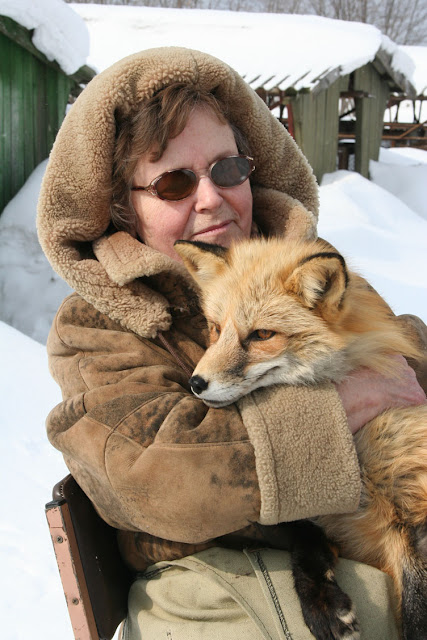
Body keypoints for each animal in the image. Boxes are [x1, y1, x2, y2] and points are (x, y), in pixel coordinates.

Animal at [175, 236, 427, 640]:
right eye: (215, 328)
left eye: (261, 334)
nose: (196, 384)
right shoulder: (313, 512)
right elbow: (305, 541)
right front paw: (323, 605)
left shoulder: (410, 510)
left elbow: (416, 613)